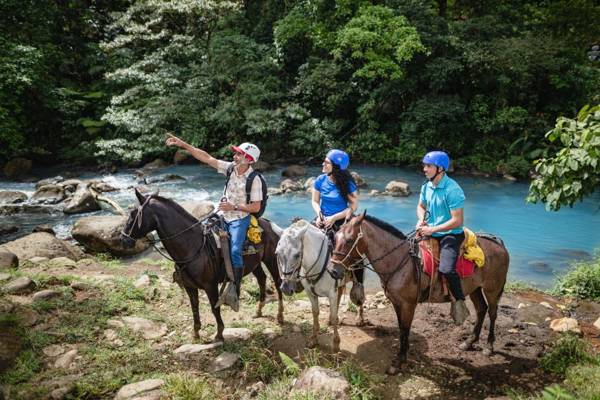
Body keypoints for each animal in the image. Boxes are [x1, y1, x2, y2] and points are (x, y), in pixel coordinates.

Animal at [120, 189, 284, 342]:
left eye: (133, 214)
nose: (123, 238)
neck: (193, 246)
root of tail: (269, 223)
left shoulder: (210, 286)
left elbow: (214, 308)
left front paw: (219, 334)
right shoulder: (190, 287)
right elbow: (194, 308)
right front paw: (196, 333)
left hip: (271, 260)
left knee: (277, 283)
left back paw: (280, 315)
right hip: (254, 263)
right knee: (262, 279)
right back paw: (259, 311)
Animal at [274, 219, 364, 354]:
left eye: (297, 255)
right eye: (277, 253)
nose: (285, 288)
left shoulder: (331, 293)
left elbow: (333, 313)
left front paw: (336, 345)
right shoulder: (310, 293)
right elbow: (315, 313)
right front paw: (314, 339)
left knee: (360, 296)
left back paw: (359, 319)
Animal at [330, 212, 508, 376]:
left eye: (349, 240)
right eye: (335, 237)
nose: (333, 271)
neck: (400, 261)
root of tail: (499, 243)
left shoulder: (408, 304)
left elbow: (405, 329)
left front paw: (399, 362)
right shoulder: (396, 302)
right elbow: (402, 330)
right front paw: (402, 358)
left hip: (492, 290)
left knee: (492, 313)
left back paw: (489, 346)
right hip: (475, 289)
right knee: (481, 309)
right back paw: (469, 342)